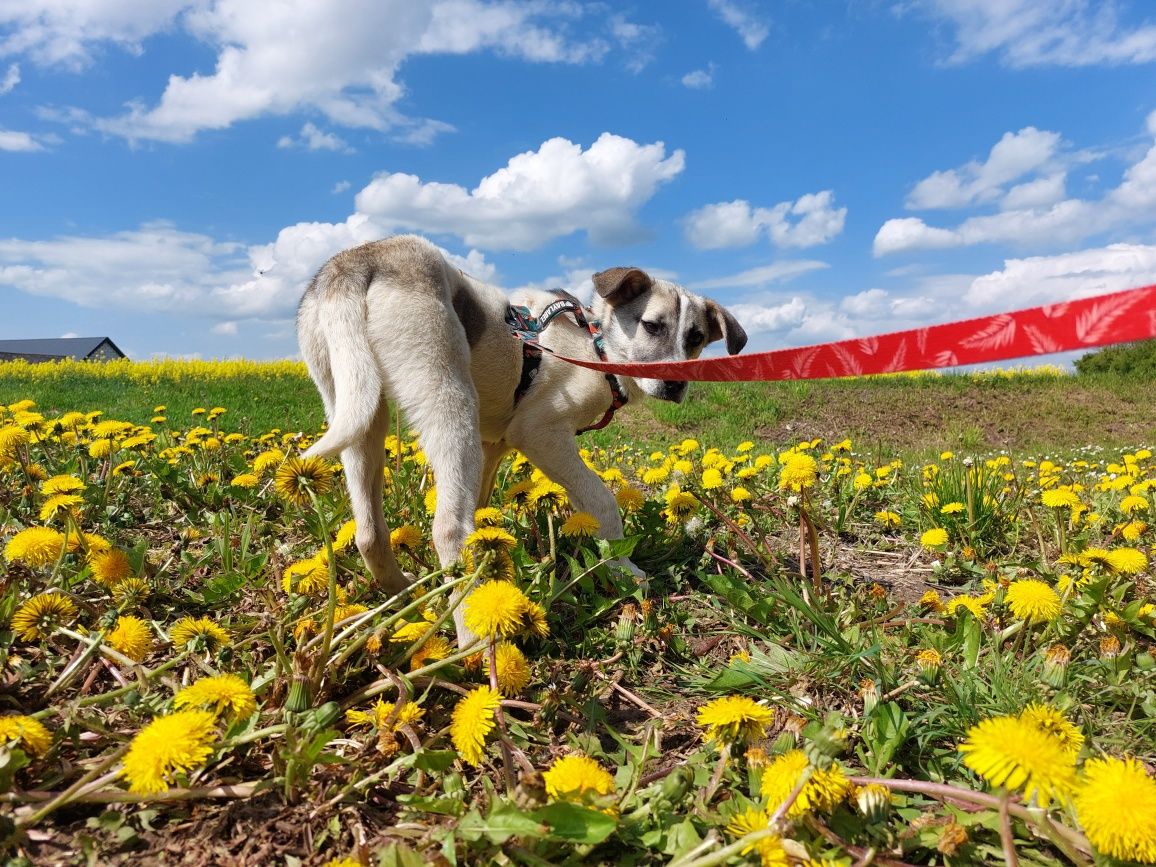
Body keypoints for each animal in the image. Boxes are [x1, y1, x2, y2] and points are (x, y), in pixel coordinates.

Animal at [298, 234, 749, 647]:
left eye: (695, 338)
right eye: (652, 326)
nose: (675, 384)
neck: (595, 347)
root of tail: (359, 259)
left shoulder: (495, 444)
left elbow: (489, 506)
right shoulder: (540, 433)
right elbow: (601, 498)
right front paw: (622, 567)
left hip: (359, 409)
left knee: (370, 533)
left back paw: (408, 595)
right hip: (450, 401)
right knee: (449, 529)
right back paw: (473, 639)